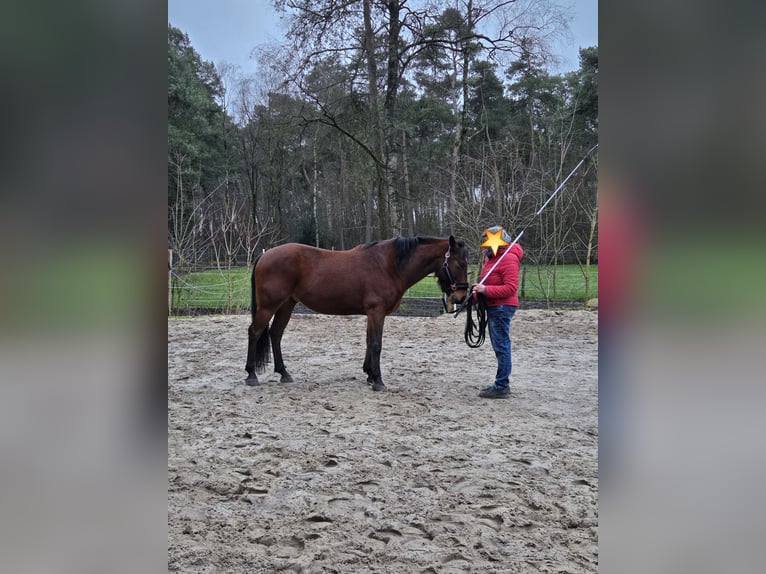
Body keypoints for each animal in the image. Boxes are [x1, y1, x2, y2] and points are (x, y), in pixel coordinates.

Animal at [245, 235, 469, 391]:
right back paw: (251, 375)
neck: (389, 266)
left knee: (275, 334)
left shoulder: (372, 314)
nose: (461, 297)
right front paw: (378, 381)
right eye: (460, 263)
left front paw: (369, 374)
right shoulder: (376, 312)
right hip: (269, 306)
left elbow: (369, 342)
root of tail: (266, 254)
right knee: (255, 332)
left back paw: (284, 373)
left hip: (287, 305)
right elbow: (376, 344)